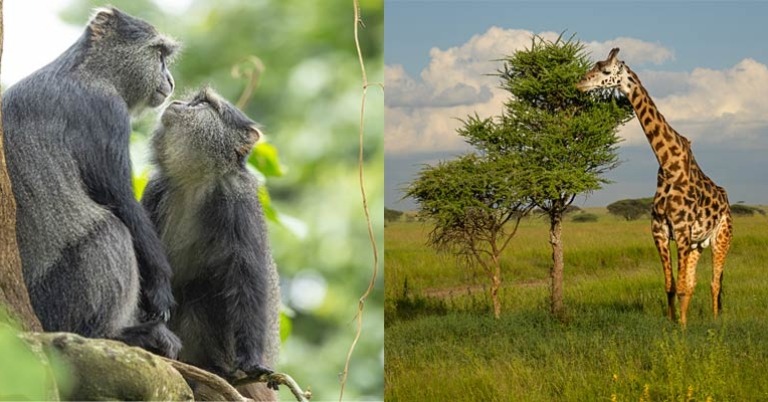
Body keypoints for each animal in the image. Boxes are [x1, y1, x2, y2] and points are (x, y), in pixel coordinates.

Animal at [1, 7, 181, 358]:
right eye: (159, 54)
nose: (170, 80)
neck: (88, 69)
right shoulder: (106, 112)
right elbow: (121, 199)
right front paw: (162, 288)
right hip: (56, 302)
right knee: (110, 231)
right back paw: (115, 336)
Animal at [142, 87, 281, 400]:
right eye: (193, 99)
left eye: (204, 103)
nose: (178, 103)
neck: (195, 182)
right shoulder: (155, 190)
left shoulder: (238, 200)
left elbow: (246, 278)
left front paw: (252, 361)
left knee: (202, 288)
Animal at [576, 48, 733, 325]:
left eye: (605, 70)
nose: (580, 83)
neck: (668, 164)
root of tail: (726, 199)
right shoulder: (659, 230)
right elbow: (671, 285)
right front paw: (672, 322)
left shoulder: (680, 230)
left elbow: (681, 286)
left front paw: (682, 328)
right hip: (697, 244)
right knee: (696, 282)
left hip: (722, 236)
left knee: (715, 283)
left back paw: (716, 320)